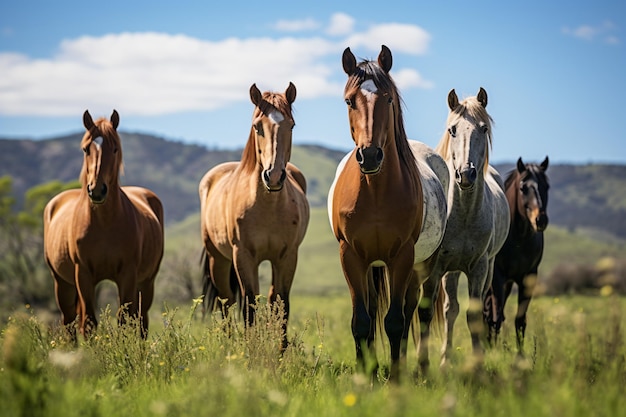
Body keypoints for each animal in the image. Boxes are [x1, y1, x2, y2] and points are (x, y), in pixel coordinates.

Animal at [44, 109, 166, 338]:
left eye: (115, 148)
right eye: (85, 149)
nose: (97, 190)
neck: (104, 224)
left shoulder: (128, 274)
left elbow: (125, 321)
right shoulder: (82, 274)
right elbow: (89, 323)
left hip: (146, 282)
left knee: (141, 320)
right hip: (62, 283)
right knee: (69, 322)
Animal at [199, 82, 308, 352]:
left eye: (291, 125)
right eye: (258, 126)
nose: (274, 176)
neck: (267, 206)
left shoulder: (287, 257)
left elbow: (282, 303)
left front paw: (280, 353)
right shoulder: (243, 256)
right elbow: (248, 307)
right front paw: (251, 353)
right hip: (219, 260)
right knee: (226, 301)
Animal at [326, 46, 448, 380]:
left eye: (389, 99)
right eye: (349, 100)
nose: (369, 155)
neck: (376, 192)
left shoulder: (402, 256)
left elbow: (395, 321)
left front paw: (394, 379)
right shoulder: (351, 256)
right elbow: (361, 321)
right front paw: (364, 375)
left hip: (423, 264)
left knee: (414, 311)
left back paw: (414, 369)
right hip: (373, 265)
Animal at [482, 155, 544, 352]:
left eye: (546, 186)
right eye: (523, 188)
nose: (540, 219)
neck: (519, 238)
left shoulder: (529, 276)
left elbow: (520, 320)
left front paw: (521, 355)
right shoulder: (498, 276)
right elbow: (496, 317)